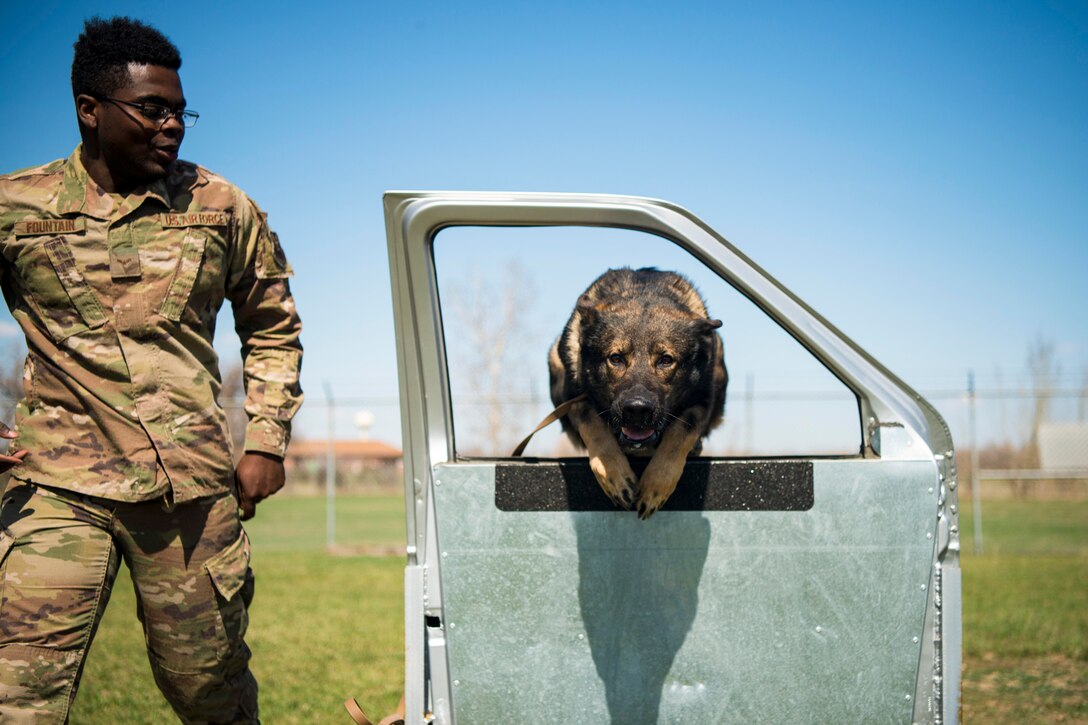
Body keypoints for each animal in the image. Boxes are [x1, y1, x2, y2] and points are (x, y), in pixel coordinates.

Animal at [548, 267, 726, 515]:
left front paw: (656, 486)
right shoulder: (573, 397)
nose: (637, 410)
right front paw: (615, 475)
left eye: (665, 360)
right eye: (616, 358)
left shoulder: (703, 399)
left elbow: (681, 432)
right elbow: (592, 424)